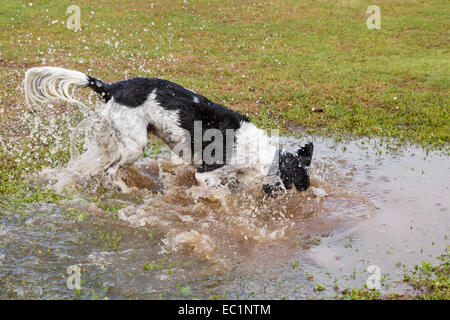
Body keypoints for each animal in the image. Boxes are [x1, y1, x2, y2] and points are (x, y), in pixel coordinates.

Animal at [23, 67, 312, 195]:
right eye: (297, 181)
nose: (306, 190)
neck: (255, 150)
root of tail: (113, 87)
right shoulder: (206, 172)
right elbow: (216, 188)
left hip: (113, 139)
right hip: (135, 145)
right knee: (110, 170)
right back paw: (124, 189)